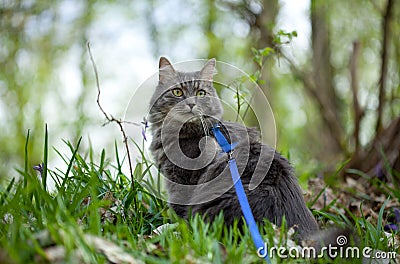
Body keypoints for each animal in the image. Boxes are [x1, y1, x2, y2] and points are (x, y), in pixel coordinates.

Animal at [148, 57, 318, 239]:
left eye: (201, 93)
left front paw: (168, 227)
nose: (191, 104)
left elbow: (180, 216)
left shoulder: (180, 182)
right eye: (177, 92)